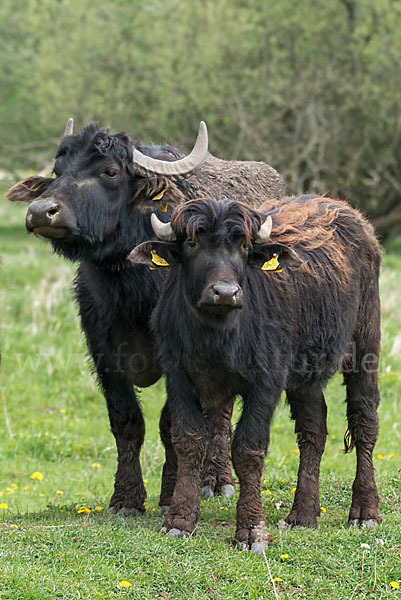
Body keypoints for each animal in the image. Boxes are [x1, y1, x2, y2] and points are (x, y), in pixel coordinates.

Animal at [7, 118, 286, 516]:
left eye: (110, 171)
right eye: (57, 171)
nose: (41, 211)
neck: (131, 288)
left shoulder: (181, 354)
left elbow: (172, 424)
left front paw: (170, 495)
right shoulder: (102, 352)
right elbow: (126, 420)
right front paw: (125, 498)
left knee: (221, 412)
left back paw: (216, 480)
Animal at [129, 195, 382, 552]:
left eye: (244, 246)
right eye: (192, 243)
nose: (225, 292)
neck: (217, 334)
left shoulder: (266, 382)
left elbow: (248, 448)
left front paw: (252, 529)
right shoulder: (178, 376)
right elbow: (189, 440)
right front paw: (179, 520)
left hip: (365, 346)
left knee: (364, 422)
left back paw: (364, 511)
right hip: (305, 377)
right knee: (313, 431)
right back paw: (302, 515)